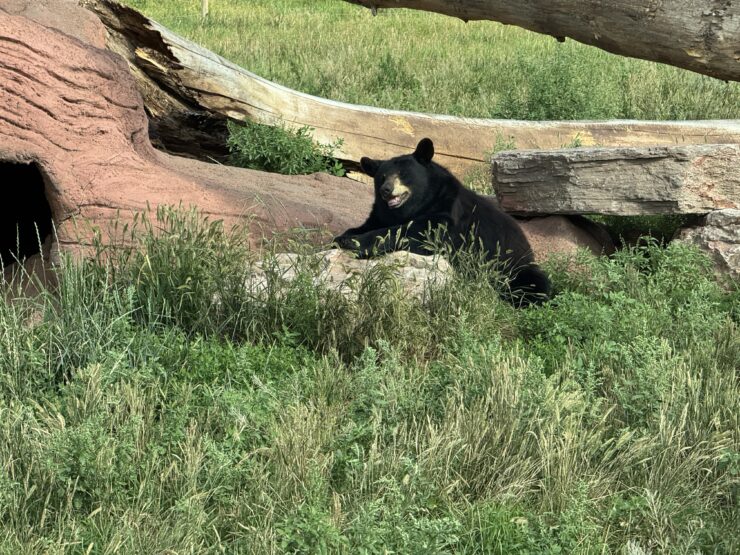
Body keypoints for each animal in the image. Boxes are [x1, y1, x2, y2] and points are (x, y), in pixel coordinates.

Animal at [333, 138, 551, 306]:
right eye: (382, 177)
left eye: (403, 175)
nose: (386, 190)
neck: (415, 206)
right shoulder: (381, 213)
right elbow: (369, 223)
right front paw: (344, 236)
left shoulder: (448, 213)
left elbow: (418, 233)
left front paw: (355, 242)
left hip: (515, 266)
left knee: (534, 284)